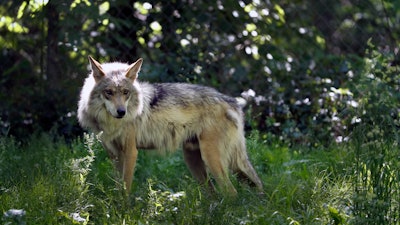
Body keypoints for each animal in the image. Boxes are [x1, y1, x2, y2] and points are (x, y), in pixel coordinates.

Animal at [77, 56, 262, 195]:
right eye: (109, 92)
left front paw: (125, 212)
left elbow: (125, 189)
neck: (112, 124)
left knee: (231, 193)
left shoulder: (130, 152)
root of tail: (232, 101)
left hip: (212, 160)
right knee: (215, 194)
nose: (121, 112)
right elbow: (118, 188)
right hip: (194, 162)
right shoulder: (114, 155)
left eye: (125, 92)